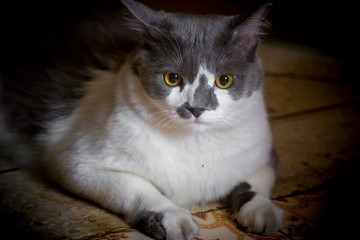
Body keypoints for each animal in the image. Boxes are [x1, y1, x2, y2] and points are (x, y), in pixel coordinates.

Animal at [0, 0, 284, 239]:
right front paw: (172, 218)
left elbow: (257, 179)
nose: (196, 108)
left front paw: (262, 211)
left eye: (224, 80)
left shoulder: (263, 151)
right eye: (172, 78)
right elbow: (137, 187)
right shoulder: (77, 162)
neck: (192, 143)